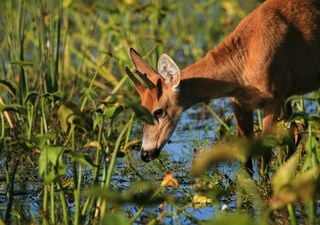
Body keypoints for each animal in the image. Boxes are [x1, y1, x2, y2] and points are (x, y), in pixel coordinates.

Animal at [124, 0, 320, 169]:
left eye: (159, 111)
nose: (145, 154)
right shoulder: (239, 103)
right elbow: (246, 156)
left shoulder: (274, 98)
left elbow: (264, 154)